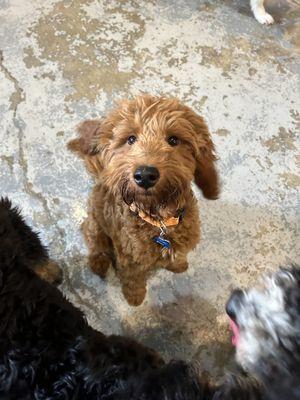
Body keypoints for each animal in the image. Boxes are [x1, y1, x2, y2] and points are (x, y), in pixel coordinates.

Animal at [68, 94, 219, 306]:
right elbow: (133, 281)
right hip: (95, 226)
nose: (145, 175)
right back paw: (99, 262)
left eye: (173, 139)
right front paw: (135, 298)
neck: (159, 221)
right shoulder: (130, 260)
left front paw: (178, 265)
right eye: (131, 139)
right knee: (94, 241)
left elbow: (178, 256)